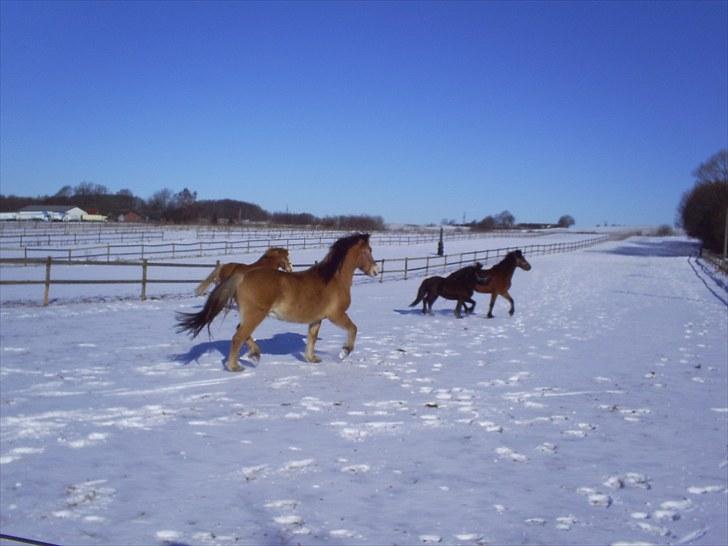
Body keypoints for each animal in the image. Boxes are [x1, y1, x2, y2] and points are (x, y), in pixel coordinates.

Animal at [178, 234, 378, 370]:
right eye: (368, 251)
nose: (376, 271)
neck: (333, 279)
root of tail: (242, 275)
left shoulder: (316, 319)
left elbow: (312, 339)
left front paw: (312, 359)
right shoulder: (336, 315)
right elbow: (353, 328)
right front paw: (344, 352)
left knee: (241, 332)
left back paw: (255, 354)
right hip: (256, 314)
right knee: (238, 337)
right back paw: (236, 367)